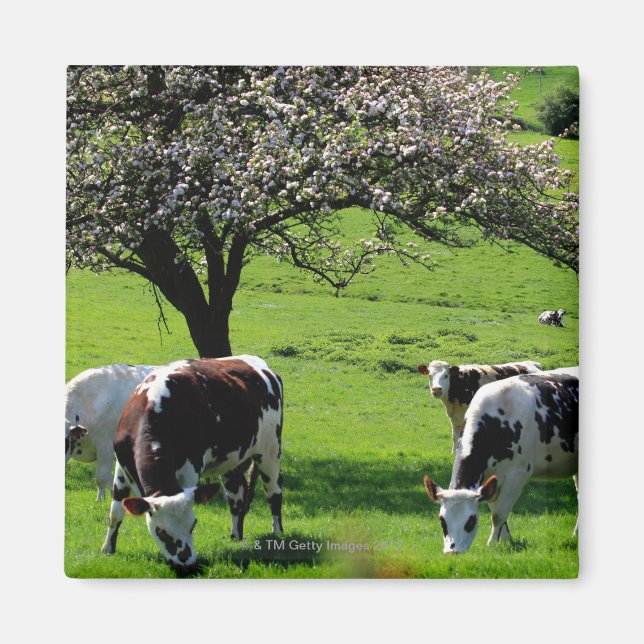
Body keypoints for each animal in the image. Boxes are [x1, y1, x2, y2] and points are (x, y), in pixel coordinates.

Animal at [101, 355, 284, 572]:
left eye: (193, 525)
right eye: (161, 531)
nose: (185, 563)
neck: (153, 407)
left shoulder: (190, 469)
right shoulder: (121, 466)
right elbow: (115, 511)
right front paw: (108, 548)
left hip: (270, 450)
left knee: (274, 494)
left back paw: (278, 534)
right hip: (231, 460)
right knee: (236, 494)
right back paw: (235, 536)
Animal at [423, 372, 578, 554]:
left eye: (471, 521)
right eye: (442, 520)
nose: (452, 551)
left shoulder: (517, 474)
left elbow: (498, 513)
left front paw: (492, 544)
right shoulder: (490, 478)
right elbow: (495, 508)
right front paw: (505, 539)